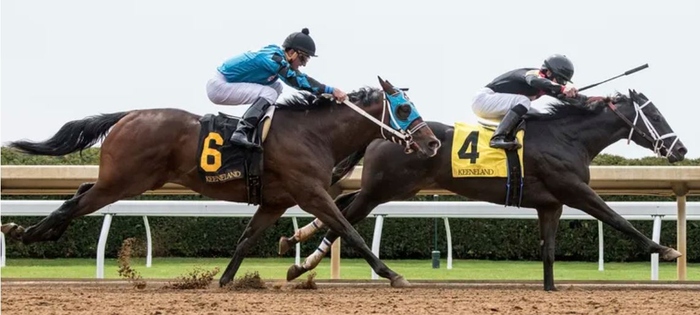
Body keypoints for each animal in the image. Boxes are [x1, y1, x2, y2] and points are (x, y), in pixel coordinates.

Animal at [2, 76, 442, 288]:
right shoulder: (311, 193)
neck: (313, 133)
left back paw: (34, 230)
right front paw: (392, 274)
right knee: (73, 203)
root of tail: (128, 115)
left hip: (119, 180)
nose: (433, 142)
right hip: (122, 182)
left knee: (77, 195)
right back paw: (25, 232)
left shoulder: (276, 201)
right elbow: (350, 230)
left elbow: (247, 238)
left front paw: (227, 279)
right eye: (404, 108)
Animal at [280, 89, 688, 292]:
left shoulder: (551, 204)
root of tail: (388, 133)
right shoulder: (575, 191)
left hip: (387, 188)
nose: (681, 149)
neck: (566, 136)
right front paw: (667, 250)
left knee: (341, 205)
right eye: (655, 115)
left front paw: (551, 289)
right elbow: (619, 220)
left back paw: (298, 243)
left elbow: (549, 251)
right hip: (383, 188)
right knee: (345, 216)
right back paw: (307, 262)